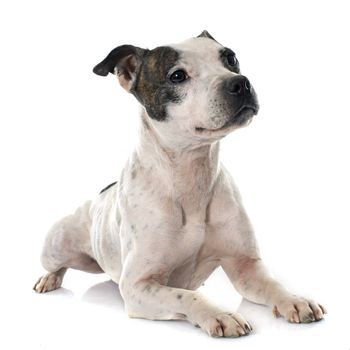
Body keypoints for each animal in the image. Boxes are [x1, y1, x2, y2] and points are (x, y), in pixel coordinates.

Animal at [34, 31, 326, 338]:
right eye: (177, 76)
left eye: (230, 58)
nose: (240, 82)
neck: (191, 175)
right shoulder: (138, 286)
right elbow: (186, 295)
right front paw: (220, 314)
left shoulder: (245, 265)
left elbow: (272, 284)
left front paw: (294, 300)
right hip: (57, 247)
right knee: (58, 265)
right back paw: (48, 279)